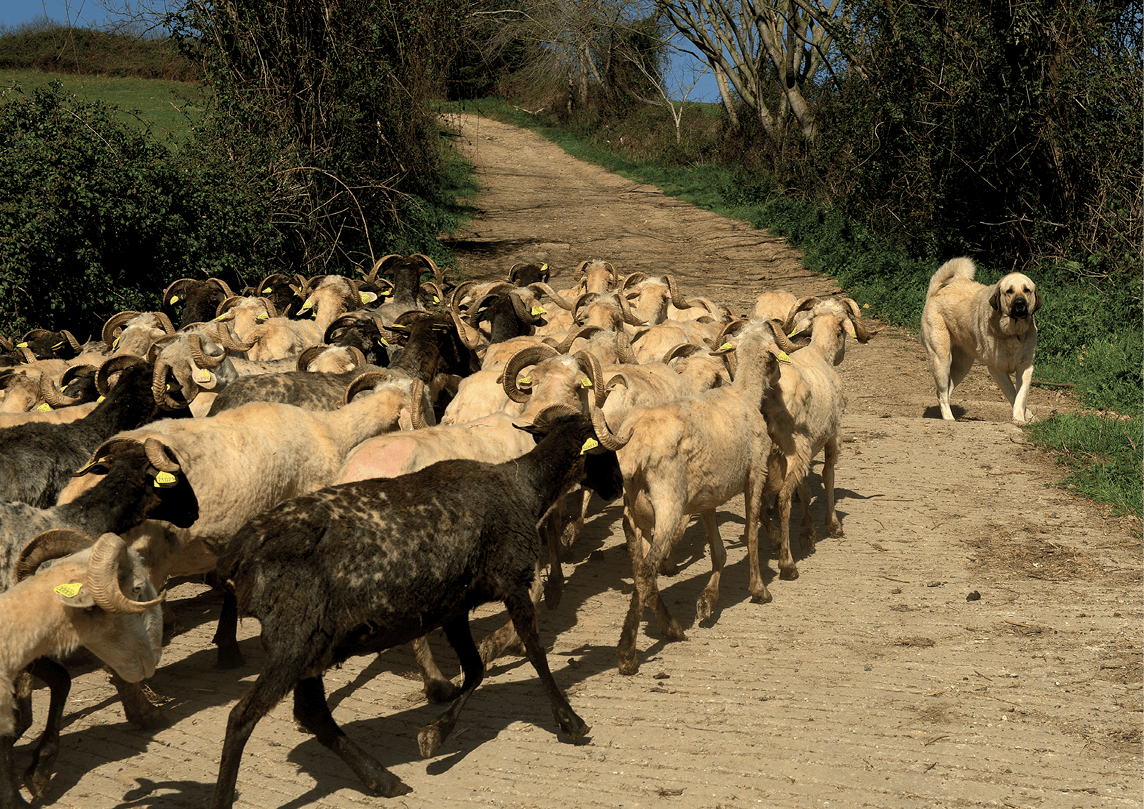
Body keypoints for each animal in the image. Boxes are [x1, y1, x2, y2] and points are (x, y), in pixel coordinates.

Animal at [915, 257, 1043, 423]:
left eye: (1027, 290)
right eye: (1009, 291)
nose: (1020, 303)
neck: (1012, 333)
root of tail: (935, 291)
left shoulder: (1026, 367)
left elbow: (1020, 396)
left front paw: (1023, 418)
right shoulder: (997, 369)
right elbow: (1012, 393)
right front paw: (1020, 418)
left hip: (962, 366)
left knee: (946, 391)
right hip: (941, 359)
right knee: (942, 393)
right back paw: (949, 418)